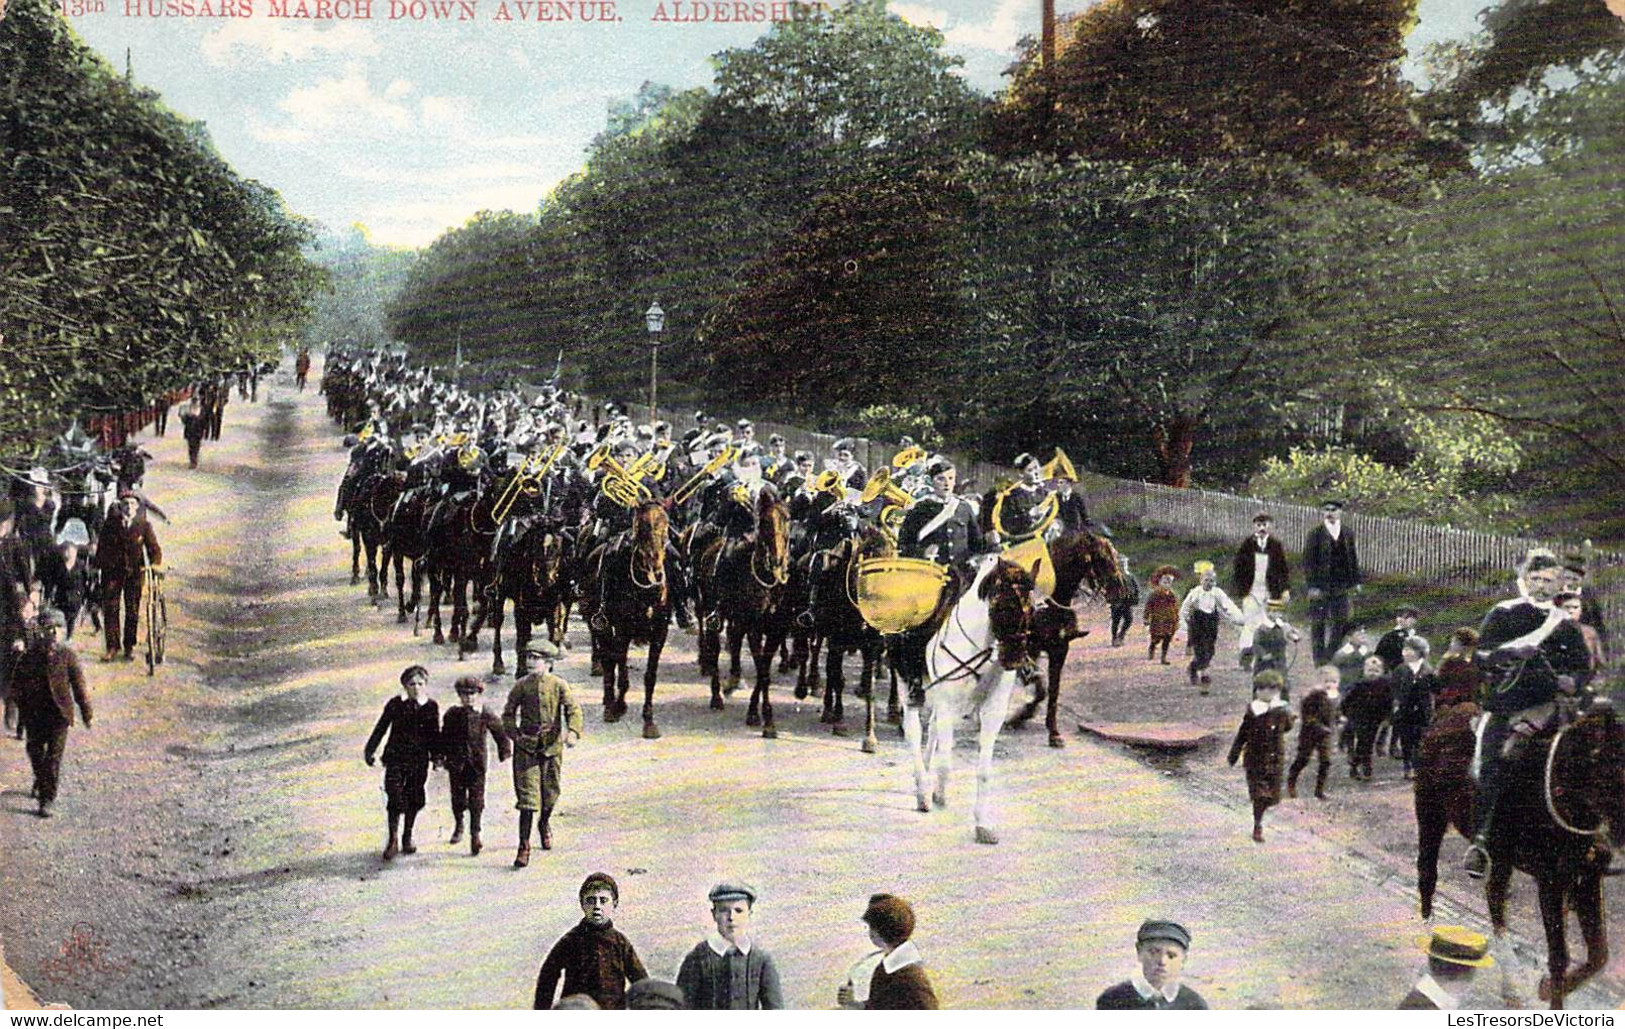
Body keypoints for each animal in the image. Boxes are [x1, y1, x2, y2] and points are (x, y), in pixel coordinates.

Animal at [903, 552, 1040, 845]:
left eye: (1031, 610)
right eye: (1003, 607)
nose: (1014, 659)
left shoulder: (992, 711)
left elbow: (984, 771)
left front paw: (982, 824)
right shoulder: (948, 704)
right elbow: (945, 762)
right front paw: (938, 795)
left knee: (931, 728)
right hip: (908, 685)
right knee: (913, 730)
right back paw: (922, 791)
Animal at [1001, 529, 1118, 747]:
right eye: (1101, 558)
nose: (1119, 587)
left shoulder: (1059, 650)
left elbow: (1052, 691)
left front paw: (1052, 732)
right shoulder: (1029, 649)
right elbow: (1038, 685)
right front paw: (1020, 716)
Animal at [1410, 699, 1625, 1001]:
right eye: (1613, 767)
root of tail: (1443, 715)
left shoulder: (1587, 878)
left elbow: (1598, 955)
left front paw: (1545, 988)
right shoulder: (1551, 882)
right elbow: (1559, 957)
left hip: (1498, 857)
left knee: (1495, 897)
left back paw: (1510, 983)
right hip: (1431, 814)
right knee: (1428, 873)